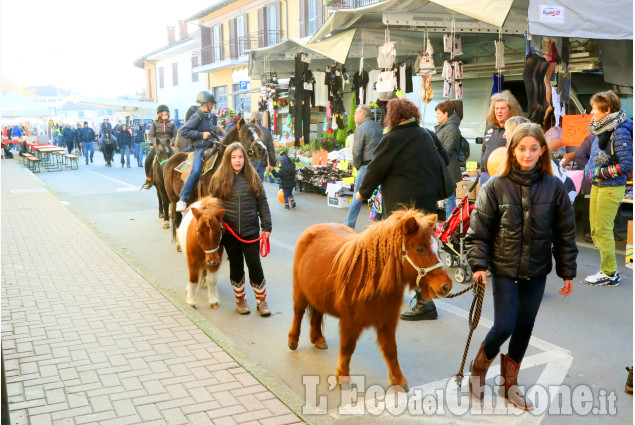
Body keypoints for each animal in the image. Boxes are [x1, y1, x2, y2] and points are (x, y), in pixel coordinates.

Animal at [165, 118, 268, 252]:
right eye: (247, 134)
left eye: (258, 132)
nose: (263, 150)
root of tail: (171, 159)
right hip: (173, 199)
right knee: (177, 219)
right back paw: (179, 244)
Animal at [288, 207, 452, 390]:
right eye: (420, 249)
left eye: (437, 249)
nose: (446, 286)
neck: (371, 281)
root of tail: (312, 229)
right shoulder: (349, 322)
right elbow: (347, 348)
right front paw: (343, 377)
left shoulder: (387, 322)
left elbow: (391, 350)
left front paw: (399, 380)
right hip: (300, 292)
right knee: (298, 313)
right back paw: (293, 340)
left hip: (318, 295)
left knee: (317, 313)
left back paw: (318, 339)